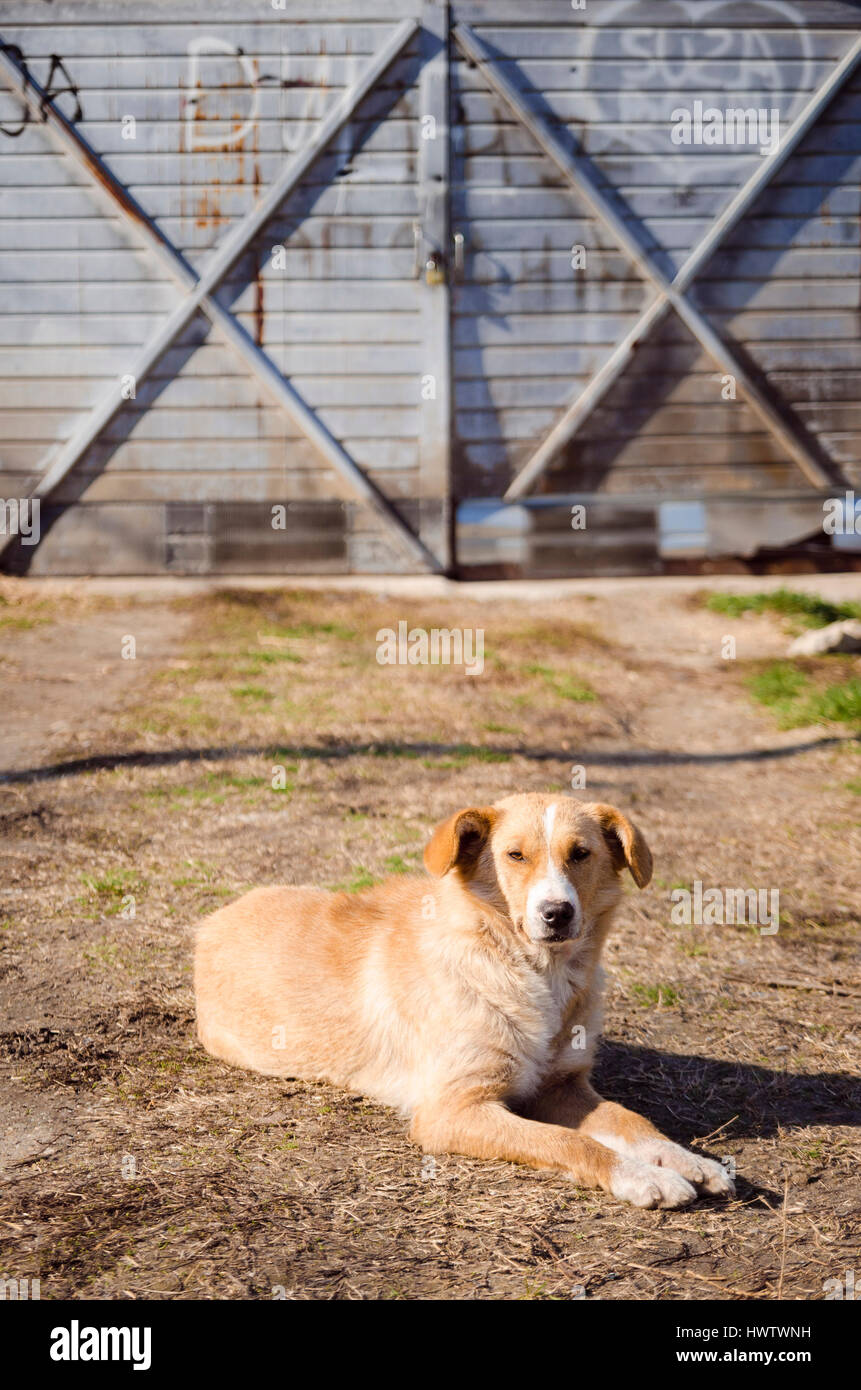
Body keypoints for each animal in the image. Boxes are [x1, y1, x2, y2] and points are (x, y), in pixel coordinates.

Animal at [194, 795, 734, 1206]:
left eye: (581, 853)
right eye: (515, 856)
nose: (557, 913)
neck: (530, 973)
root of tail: (213, 918)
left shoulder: (562, 1086)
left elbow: (632, 1120)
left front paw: (688, 1160)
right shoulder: (451, 1110)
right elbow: (568, 1139)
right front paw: (642, 1176)